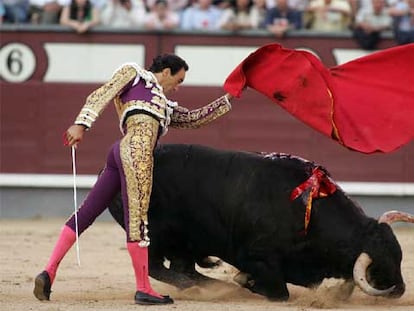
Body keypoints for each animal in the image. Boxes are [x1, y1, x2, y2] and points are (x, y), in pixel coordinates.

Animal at [107, 144, 414, 302]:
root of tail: (111, 170)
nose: (400, 289)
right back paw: (212, 289)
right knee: (156, 266)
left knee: (183, 268)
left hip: (186, 243)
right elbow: (280, 293)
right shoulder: (259, 257)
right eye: (379, 265)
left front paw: (243, 280)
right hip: (155, 235)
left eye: (398, 257)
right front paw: (247, 282)